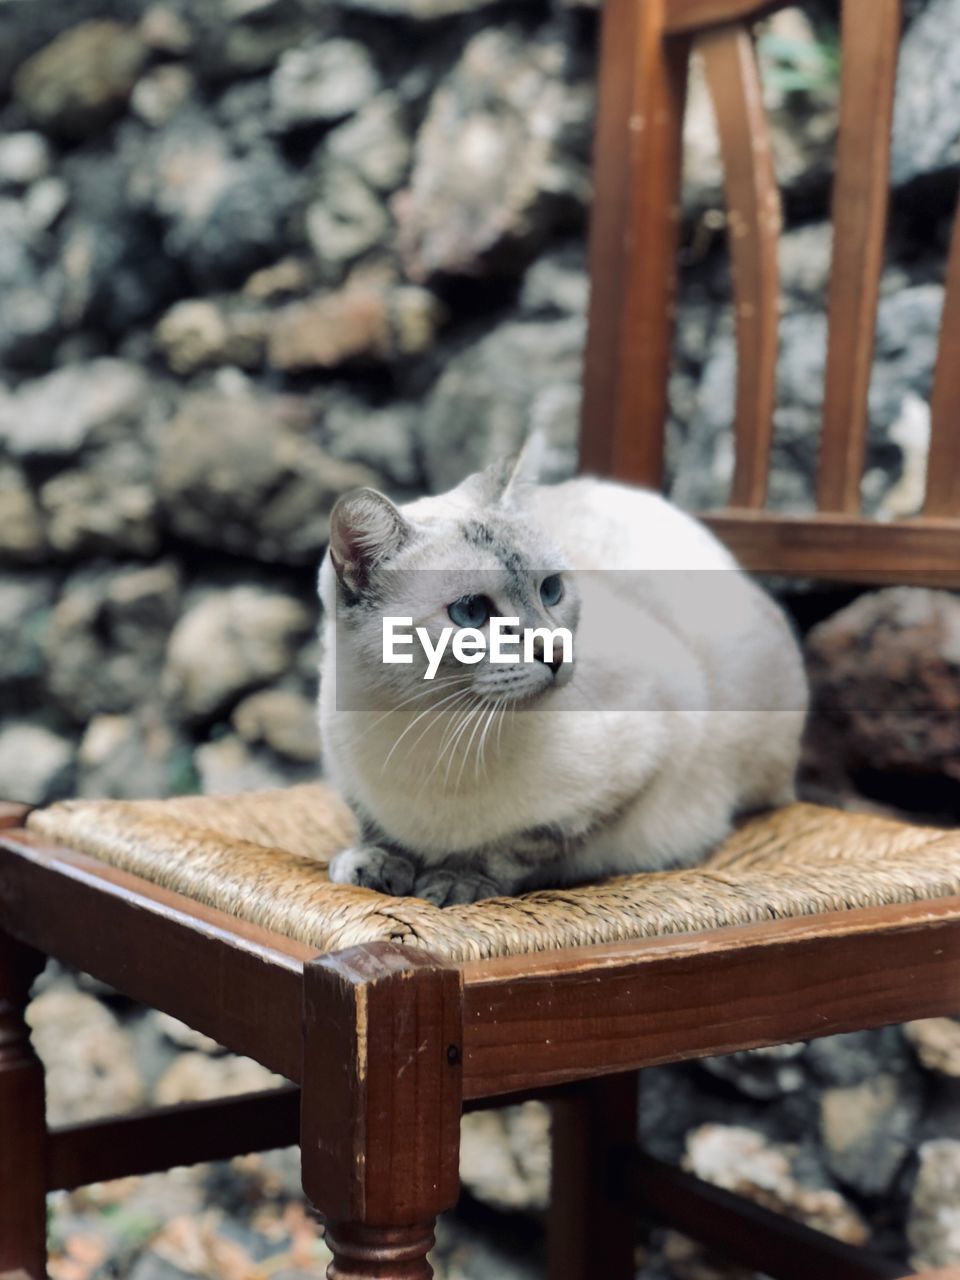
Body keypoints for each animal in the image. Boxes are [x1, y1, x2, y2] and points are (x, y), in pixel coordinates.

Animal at [320, 445, 808, 906]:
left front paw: (457, 880)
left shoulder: (640, 757)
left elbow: (515, 846)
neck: (427, 726)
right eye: (470, 611)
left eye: (550, 590)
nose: (554, 651)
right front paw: (375, 864)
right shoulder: (346, 776)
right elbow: (375, 827)